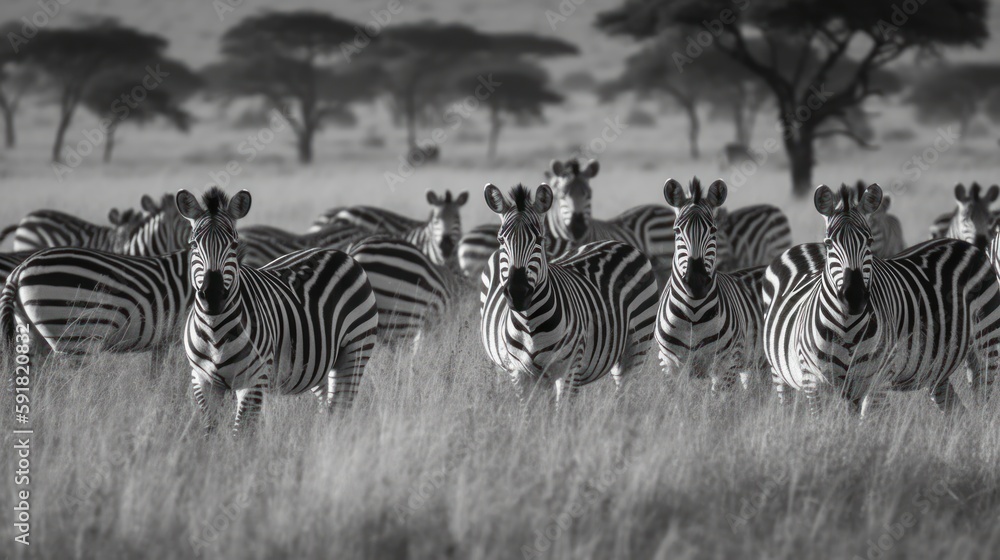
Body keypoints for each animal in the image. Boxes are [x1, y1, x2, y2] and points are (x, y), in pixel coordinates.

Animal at [176, 187, 379, 435]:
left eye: (234, 245)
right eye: (193, 245)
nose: (213, 296)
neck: (215, 331)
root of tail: (341, 253)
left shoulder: (253, 381)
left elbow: (241, 435)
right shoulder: (202, 382)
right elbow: (210, 433)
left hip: (355, 351)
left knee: (342, 408)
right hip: (317, 363)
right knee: (328, 407)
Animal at [480, 183, 658, 403]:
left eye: (540, 239)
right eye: (501, 239)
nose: (517, 293)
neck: (530, 324)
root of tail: (618, 242)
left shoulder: (569, 371)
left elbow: (562, 412)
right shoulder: (519, 374)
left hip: (637, 345)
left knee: (625, 395)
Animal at [655, 178, 768, 392]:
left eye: (713, 230)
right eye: (676, 231)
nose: (696, 283)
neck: (692, 314)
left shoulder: (727, 364)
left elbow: (718, 401)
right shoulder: (668, 364)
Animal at [763, 183, 1000, 416]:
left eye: (869, 241)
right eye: (829, 243)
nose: (854, 297)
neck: (846, 328)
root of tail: (963, 243)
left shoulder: (877, 381)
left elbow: (868, 424)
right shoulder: (815, 384)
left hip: (987, 339)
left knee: (984, 398)